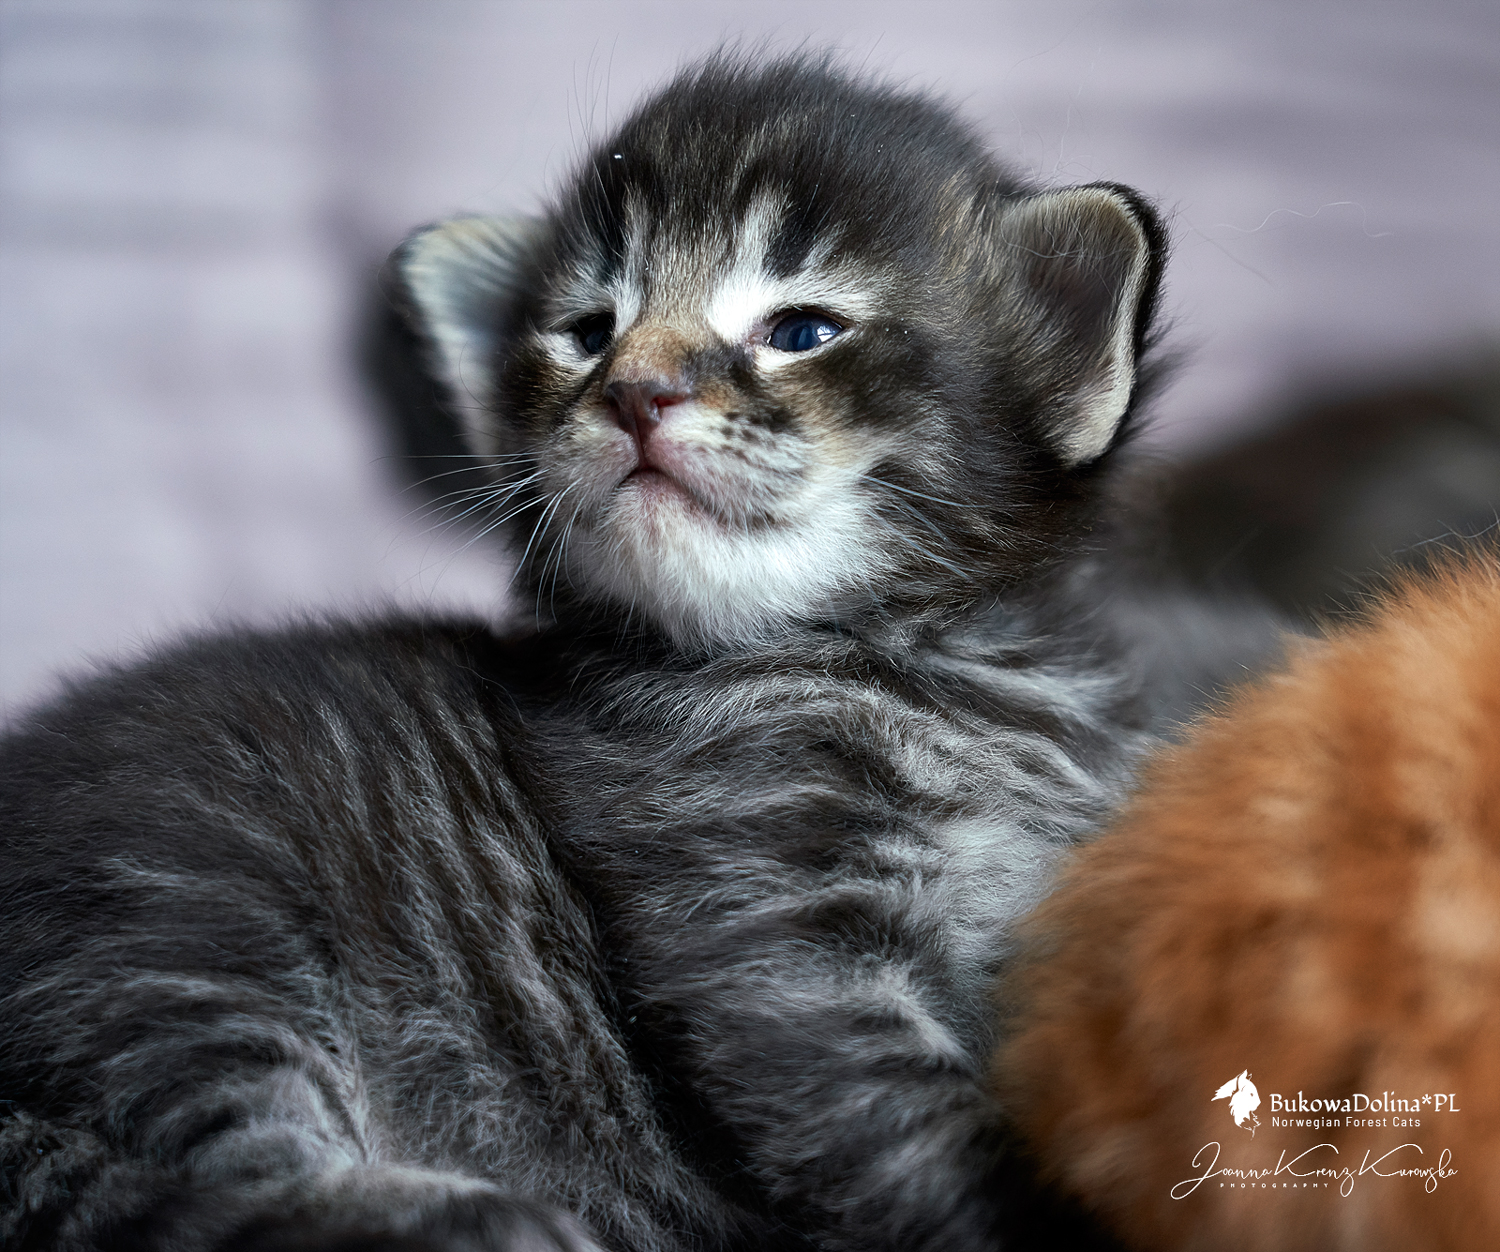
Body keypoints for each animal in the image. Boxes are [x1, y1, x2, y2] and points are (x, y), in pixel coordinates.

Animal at [2, 53, 1171, 1252]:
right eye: (589, 330)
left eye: (802, 332)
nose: (636, 391)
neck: (908, 664)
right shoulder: (770, 952)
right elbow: (920, 1139)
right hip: (183, 919)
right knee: (231, 1175)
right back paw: (476, 1215)